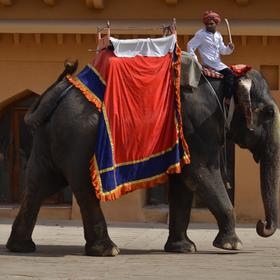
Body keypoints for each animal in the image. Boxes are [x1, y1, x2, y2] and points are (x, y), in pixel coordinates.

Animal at [5, 58, 278, 258]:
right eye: (268, 112)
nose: (262, 225)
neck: (222, 79)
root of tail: (56, 94)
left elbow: (184, 182)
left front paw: (183, 249)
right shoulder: (197, 124)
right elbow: (201, 174)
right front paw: (232, 246)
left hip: (49, 141)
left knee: (38, 186)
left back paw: (21, 248)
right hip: (77, 140)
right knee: (83, 189)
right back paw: (107, 250)